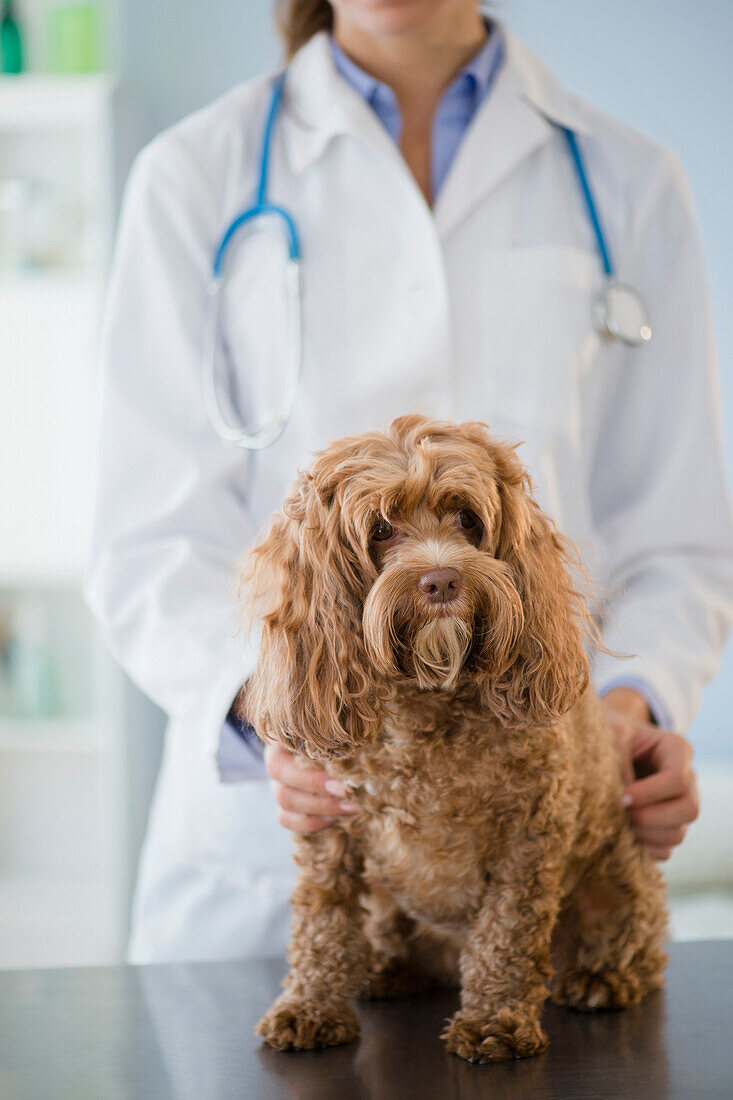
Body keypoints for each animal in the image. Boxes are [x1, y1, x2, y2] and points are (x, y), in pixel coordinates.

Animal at [241, 413, 669, 1064]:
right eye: (382, 529)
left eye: (466, 518)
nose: (441, 580)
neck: (428, 702)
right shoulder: (330, 828)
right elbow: (323, 920)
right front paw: (310, 1006)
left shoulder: (530, 834)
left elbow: (508, 931)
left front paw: (496, 1021)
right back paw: (386, 970)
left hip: (618, 871)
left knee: (632, 940)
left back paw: (602, 977)